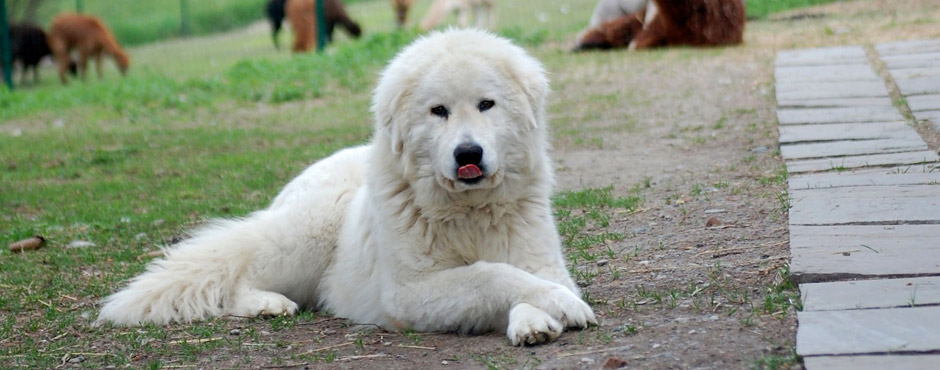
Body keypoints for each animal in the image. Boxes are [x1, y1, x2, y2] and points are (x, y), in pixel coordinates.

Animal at [97, 28, 596, 346]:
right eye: (438, 111)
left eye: (486, 104)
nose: (467, 153)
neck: (466, 210)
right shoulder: (410, 293)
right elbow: (490, 275)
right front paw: (560, 306)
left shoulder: (541, 261)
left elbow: (522, 277)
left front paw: (537, 317)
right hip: (307, 236)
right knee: (238, 278)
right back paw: (267, 304)